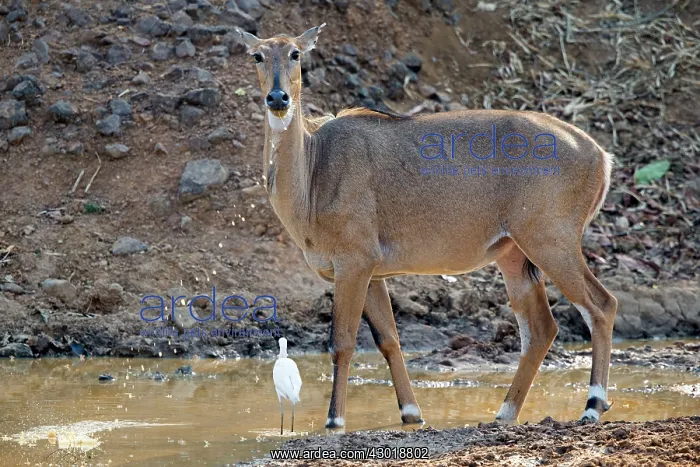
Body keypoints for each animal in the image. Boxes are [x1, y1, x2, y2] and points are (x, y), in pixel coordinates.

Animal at [237, 24, 618, 428]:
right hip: (514, 254)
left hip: (551, 241)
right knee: (541, 328)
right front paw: (410, 413)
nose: (277, 98)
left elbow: (342, 341)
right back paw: (504, 413)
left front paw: (334, 421)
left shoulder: (353, 263)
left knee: (600, 305)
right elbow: (389, 340)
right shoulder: (372, 273)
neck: (314, 170)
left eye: (296, 53)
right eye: (257, 55)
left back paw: (592, 405)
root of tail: (599, 154)